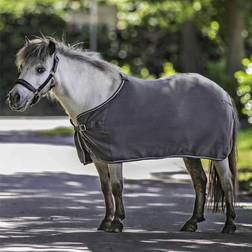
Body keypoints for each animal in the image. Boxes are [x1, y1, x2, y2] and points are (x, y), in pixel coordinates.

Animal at [7, 37, 238, 234]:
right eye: (22, 67)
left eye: (40, 69)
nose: (14, 97)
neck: (95, 97)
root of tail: (223, 93)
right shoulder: (99, 157)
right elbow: (105, 188)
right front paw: (106, 222)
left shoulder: (113, 155)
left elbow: (117, 186)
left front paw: (117, 223)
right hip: (191, 154)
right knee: (200, 181)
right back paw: (191, 223)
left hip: (218, 154)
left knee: (227, 182)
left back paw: (229, 225)